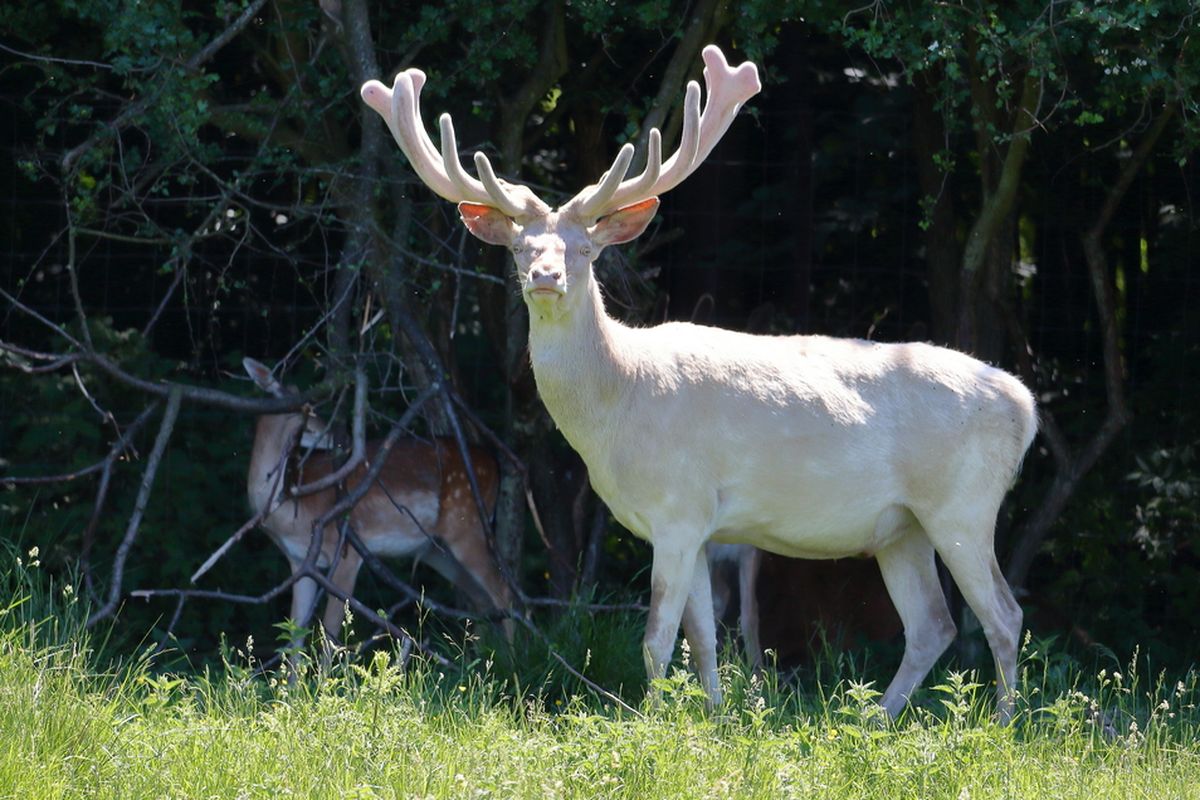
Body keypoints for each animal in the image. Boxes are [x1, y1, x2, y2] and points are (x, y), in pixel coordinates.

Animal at [241, 359, 508, 647]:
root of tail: (495, 463)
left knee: (506, 594)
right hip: (437, 551)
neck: (293, 512)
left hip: (468, 526)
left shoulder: (346, 550)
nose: (342, 438)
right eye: (306, 409)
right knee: (483, 601)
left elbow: (330, 635)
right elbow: (294, 638)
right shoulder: (299, 562)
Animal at [360, 42, 1036, 719]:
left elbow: (658, 639)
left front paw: (650, 720)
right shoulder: (702, 526)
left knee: (1003, 616)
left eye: (584, 249)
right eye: (521, 248)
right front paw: (712, 717)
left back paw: (1000, 726)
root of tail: (1025, 406)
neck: (617, 405)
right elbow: (704, 640)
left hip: (963, 504)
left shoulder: (678, 506)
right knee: (932, 624)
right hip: (901, 526)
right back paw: (876, 720)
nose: (546, 277)